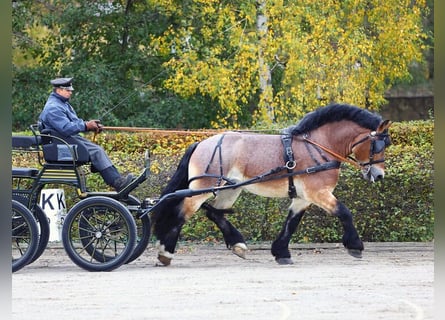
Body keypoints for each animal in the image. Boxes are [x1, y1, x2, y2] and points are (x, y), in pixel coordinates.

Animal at [151, 102, 390, 264]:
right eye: (378, 145)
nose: (379, 175)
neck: (318, 146)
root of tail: (201, 143)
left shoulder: (303, 198)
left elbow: (291, 222)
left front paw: (281, 252)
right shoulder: (318, 193)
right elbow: (344, 212)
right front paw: (355, 246)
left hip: (230, 190)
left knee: (214, 213)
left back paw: (237, 244)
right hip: (201, 189)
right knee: (182, 213)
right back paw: (166, 252)